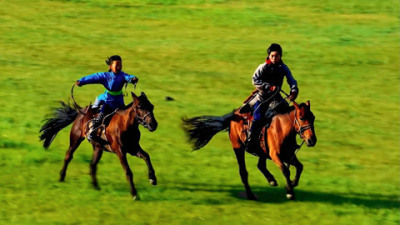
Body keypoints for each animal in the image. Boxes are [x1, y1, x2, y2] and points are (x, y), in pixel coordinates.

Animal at [183, 99, 318, 200]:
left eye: (313, 117)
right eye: (301, 118)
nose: (312, 140)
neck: (282, 129)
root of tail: (234, 114)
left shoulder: (288, 154)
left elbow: (300, 167)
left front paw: (292, 183)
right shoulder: (275, 155)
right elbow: (286, 170)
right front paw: (290, 192)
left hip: (262, 151)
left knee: (260, 165)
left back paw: (271, 180)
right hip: (238, 148)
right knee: (243, 172)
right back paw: (250, 195)